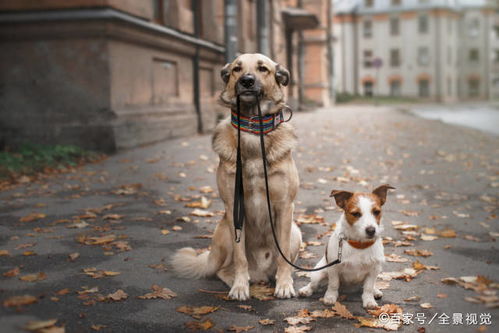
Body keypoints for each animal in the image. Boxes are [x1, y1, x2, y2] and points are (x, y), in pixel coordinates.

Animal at [173, 53, 300, 300]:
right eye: (236, 69)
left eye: (263, 69)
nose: (247, 81)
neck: (253, 129)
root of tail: (261, 272)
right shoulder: (234, 207)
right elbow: (240, 257)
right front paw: (241, 286)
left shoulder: (284, 207)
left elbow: (283, 258)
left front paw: (284, 284)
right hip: (224, 230)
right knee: (222, 269)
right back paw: (238, 280)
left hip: (295, 231)